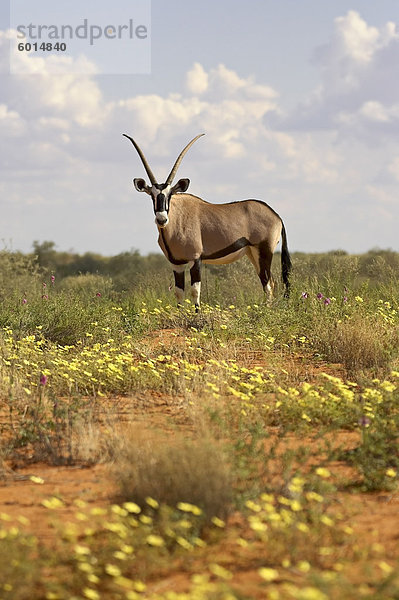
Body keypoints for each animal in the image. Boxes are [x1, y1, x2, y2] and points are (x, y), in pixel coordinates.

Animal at [123, 133, 292, 308]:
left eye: (170, 195)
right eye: (152, 195)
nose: (161, 219)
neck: (176, 220)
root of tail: (276, 215)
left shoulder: (195, 259)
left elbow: (195, 292)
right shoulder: (176, 264)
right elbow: (179, 293)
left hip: (265, 252)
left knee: (268, 285)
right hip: (253, 253)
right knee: (270, 283)